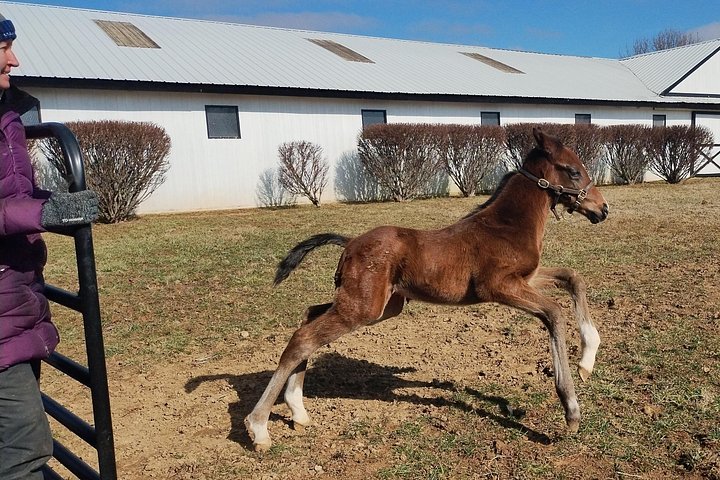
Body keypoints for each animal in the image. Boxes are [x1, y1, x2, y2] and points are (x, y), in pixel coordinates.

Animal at [245, 127, 609, 451]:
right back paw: (258, 427)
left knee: (309, 317)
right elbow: (554, 312)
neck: (506, 225)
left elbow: (573, 277)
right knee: (303, 338)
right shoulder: (498, 286)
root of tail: (349, 243)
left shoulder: (527, 278)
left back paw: (297, 410)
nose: (602, 209)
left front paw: (588, 359)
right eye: (574, 171)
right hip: (362, 308)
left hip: (379, 305)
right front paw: (571, 409)